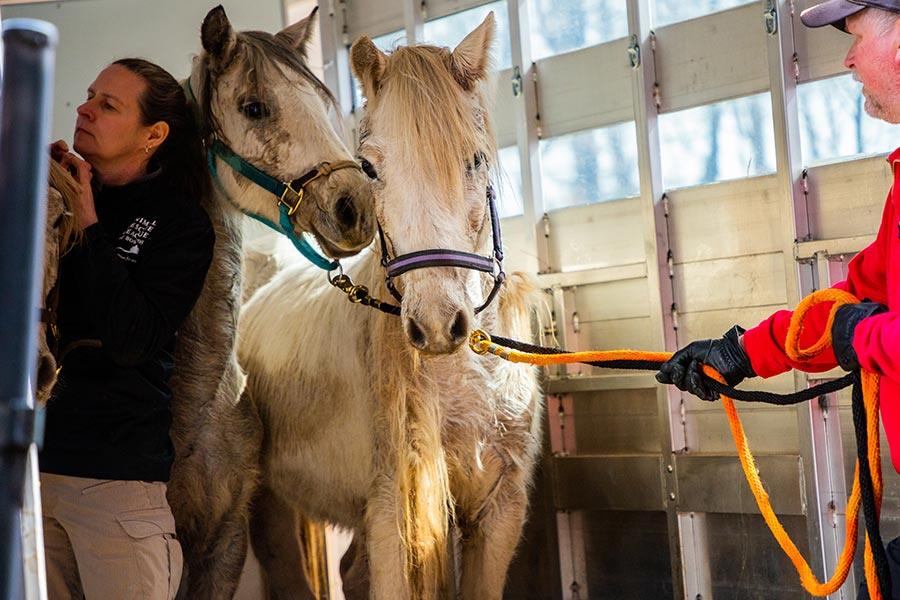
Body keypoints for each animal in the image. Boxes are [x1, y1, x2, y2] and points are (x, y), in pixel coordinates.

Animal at [237, 15, 540, 600]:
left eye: (475, 160)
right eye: (371, 169)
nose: (438, 325)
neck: (466, 375)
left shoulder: (500, 508)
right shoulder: (391, 512)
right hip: (269, 506)